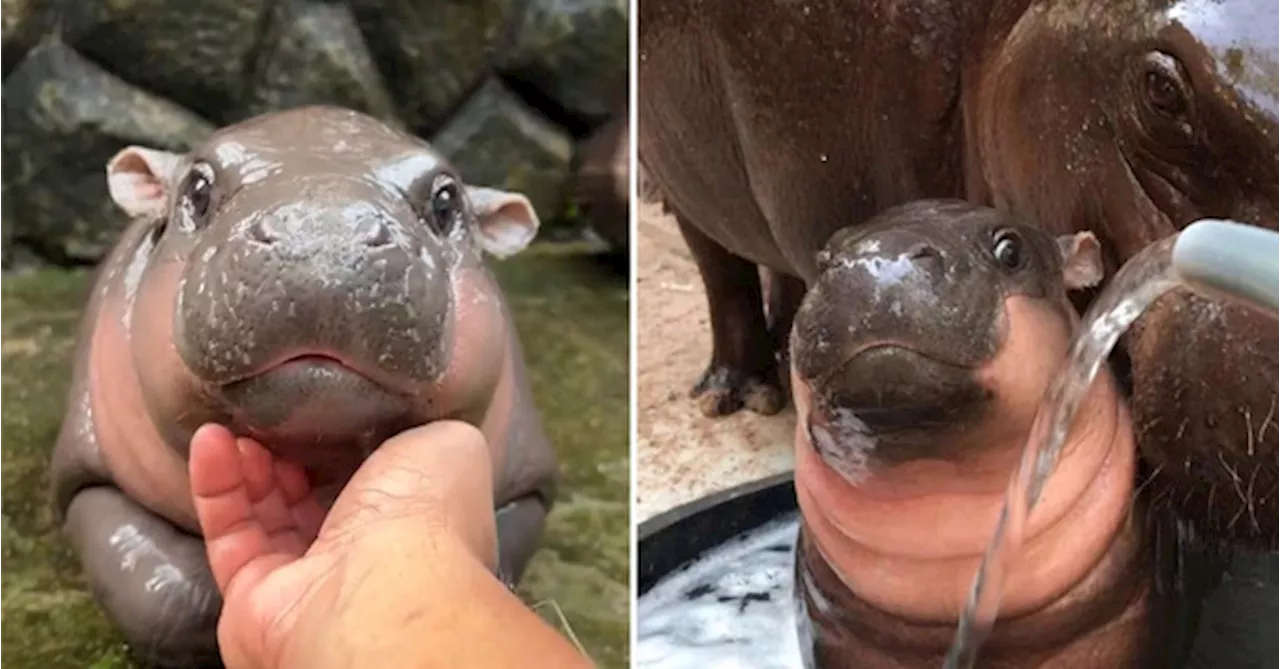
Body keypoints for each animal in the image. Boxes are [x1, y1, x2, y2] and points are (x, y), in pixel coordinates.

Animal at [47, 107, 558, 665]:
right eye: (197, 189)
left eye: (446, 202)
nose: (323, 235)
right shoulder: (86, 476)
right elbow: (167, 598)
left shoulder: (529, 487)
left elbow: (499, 558)